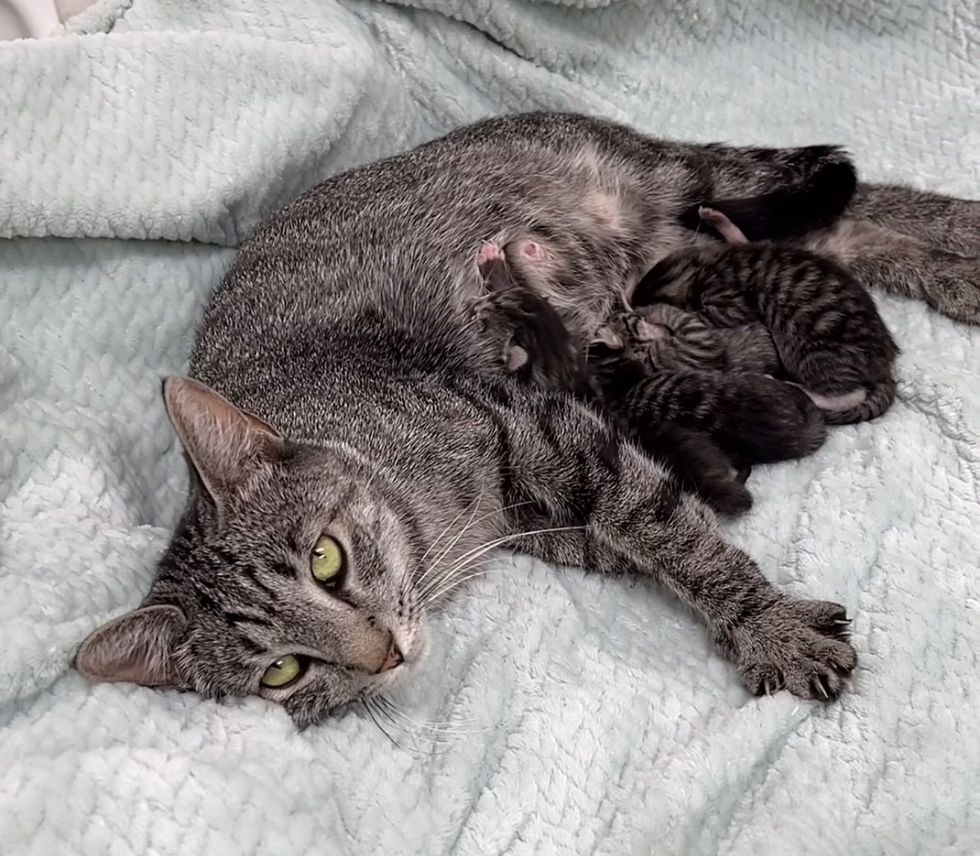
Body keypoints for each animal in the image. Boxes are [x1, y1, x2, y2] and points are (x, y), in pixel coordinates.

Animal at [632, 211, 900, 424]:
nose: (633, 301)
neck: (707, 265)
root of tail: (884, 366)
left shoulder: (728, 303)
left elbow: (698, 317)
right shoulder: (753, 245)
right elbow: (741, 237)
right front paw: (717, 218)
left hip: (816, 355)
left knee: (850, 394)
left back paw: (792, 385)